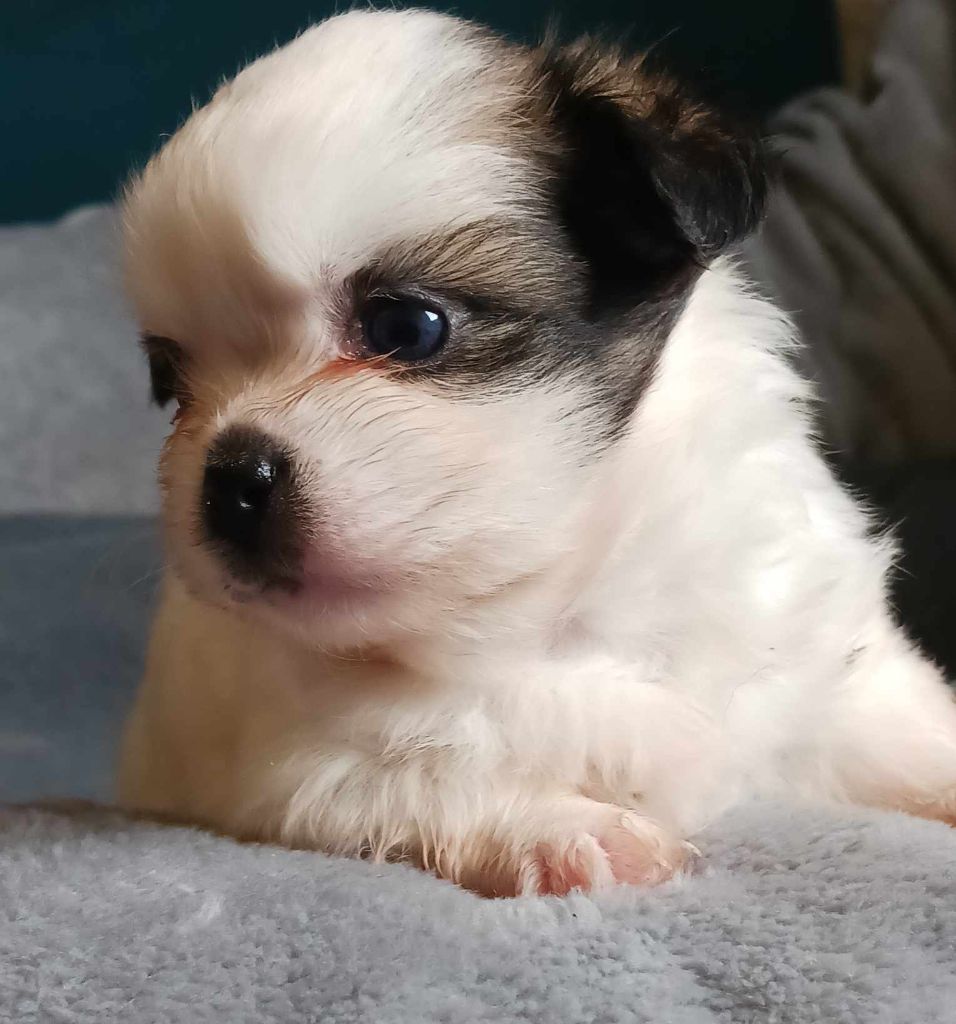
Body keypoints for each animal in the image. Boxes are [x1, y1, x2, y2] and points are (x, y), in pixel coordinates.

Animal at [118, 9, 956, 897]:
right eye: (173, 384)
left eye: (406, 327)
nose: (230, 479)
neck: (553, 605)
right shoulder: (309, 771)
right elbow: (441, 784)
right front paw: (576, 831)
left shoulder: (835, 675)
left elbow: (912, 737)